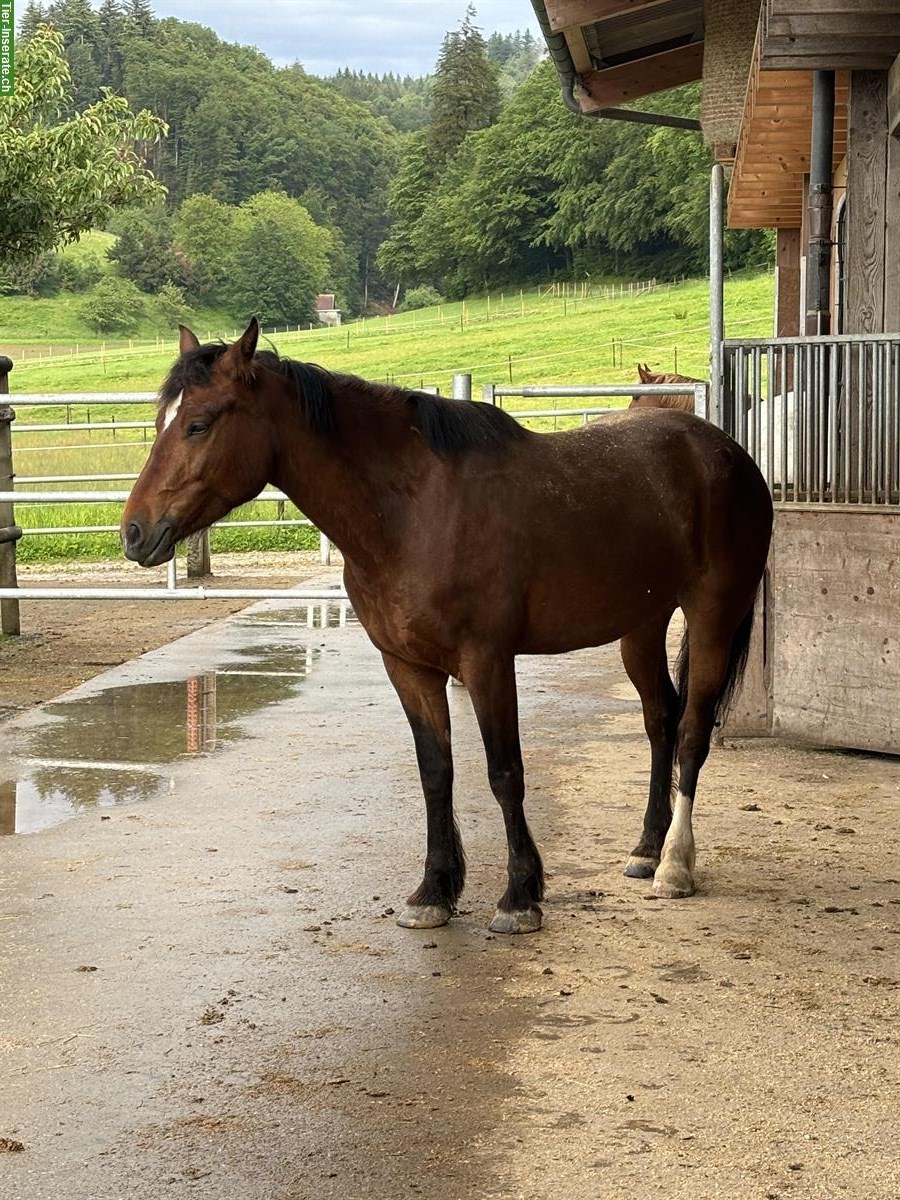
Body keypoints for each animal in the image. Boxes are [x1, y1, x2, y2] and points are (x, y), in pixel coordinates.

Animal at [123, 321, 777, 936]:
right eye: (161, 421)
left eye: (199, 425)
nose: (133, 532)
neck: (412, 509)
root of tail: (726, 454)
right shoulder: (407, 666)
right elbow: (436, 772)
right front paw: (434, 891)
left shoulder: (487, 662)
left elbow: (504, 772)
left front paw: (519, 897)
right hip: (640, 627)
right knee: (660, 719)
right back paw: (646, 848)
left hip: (713, 616)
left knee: (692, 730)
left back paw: (675, 865)